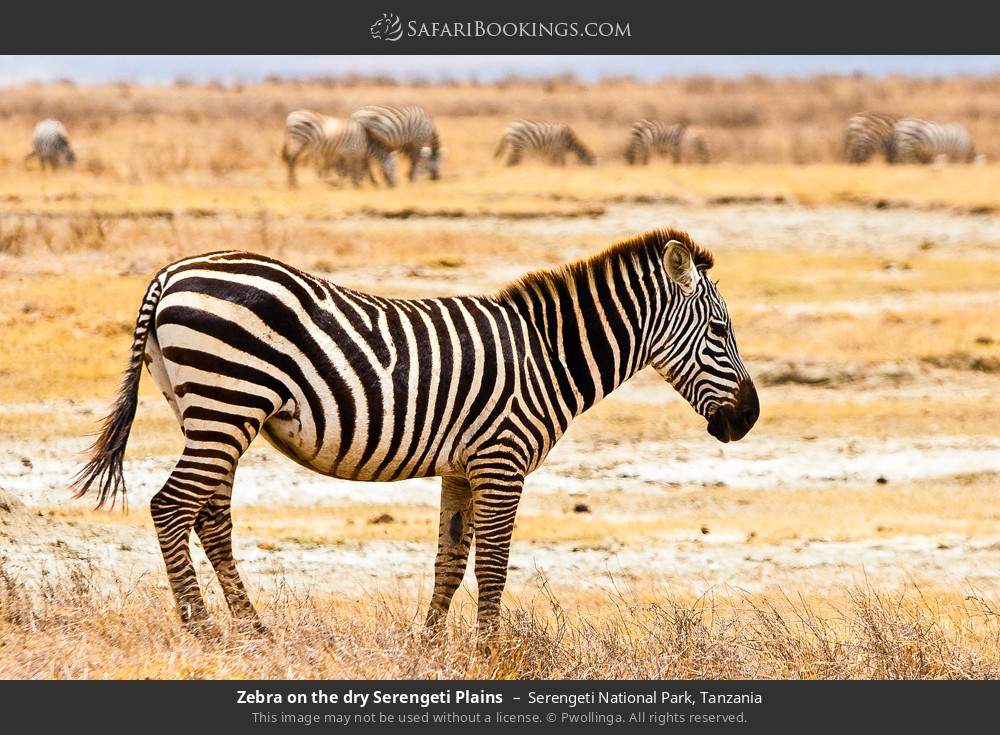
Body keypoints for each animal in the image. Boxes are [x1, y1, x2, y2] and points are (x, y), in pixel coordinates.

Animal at [73, 228, 759, 638]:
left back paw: (253, 631)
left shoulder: (463, 465)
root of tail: (171, 272)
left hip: (210, 412)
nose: (749, 419)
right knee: (171, 507)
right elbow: (493, 565)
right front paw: (489, 653)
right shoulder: (502, 460)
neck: (546, 353)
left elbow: (449, 562)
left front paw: (429, 647)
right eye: (721, 332)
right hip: (228, 402)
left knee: (209, 518)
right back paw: (202, 630)